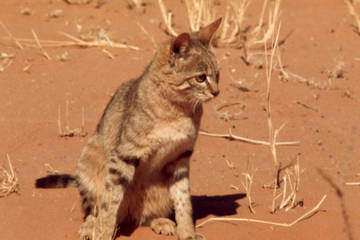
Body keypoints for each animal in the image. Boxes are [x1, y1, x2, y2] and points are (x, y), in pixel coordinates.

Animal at [36, 17, 222, 240]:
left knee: (143, 216)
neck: (178, 112)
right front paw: (104, 233)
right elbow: (111, 202)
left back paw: (161, 221)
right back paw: (90, 227)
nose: (217, 92)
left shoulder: (180, 158)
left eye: (218, 75)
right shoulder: (125, 155)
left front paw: (188, 233)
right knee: (93, 209)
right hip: (89, 161)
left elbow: (184, 202)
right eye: (201, 77)